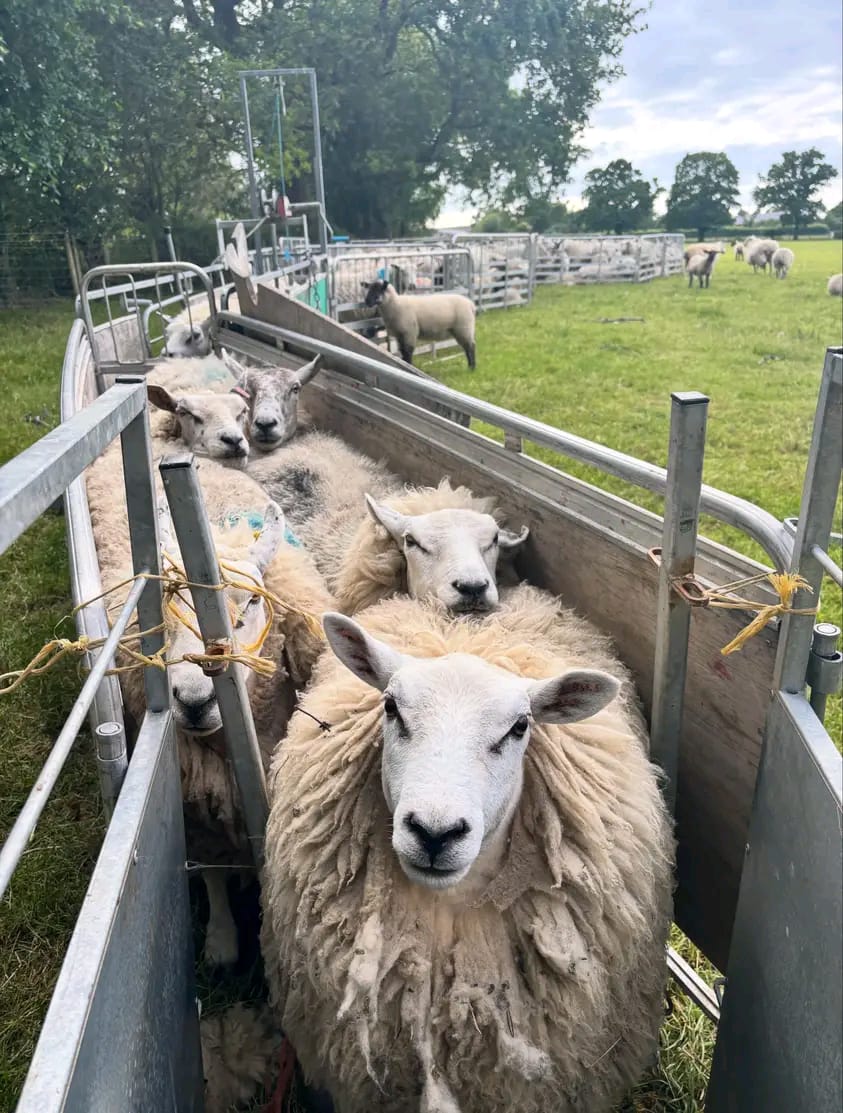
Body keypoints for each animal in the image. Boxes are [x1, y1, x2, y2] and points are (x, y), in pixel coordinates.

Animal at [86, 452, 334, 965]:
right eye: (162, 597)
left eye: (254, 600)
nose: (196, 700)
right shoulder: (197, 801)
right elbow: (212, 869)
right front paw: (221, 938)